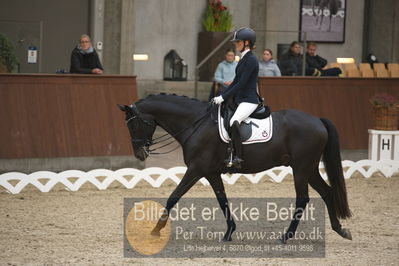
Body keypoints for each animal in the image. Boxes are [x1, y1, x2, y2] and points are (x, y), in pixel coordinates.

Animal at [118, 93, 354, 243]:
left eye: (134, 123)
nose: (139, 154)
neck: (196, 123)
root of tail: (318, 121)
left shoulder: (195, 169)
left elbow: (173, 197)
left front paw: (155, 230)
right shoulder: (211, 172)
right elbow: (222, 200)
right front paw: (229, 232)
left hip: (301, 169)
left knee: (303, 199)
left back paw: (286, 237)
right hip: (309, 169)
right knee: (327, 192)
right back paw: (340, 229)